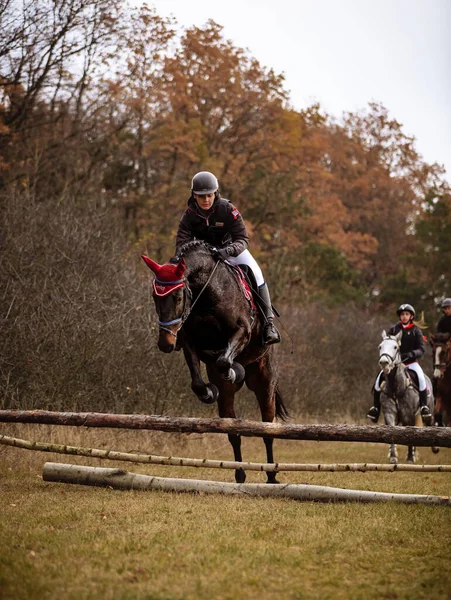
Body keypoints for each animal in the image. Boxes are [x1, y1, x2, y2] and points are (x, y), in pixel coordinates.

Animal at [142, 239, 290, 482]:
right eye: (155, 297)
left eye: (178, 297)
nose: (165, 343)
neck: (207, 292)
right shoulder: (190, 342)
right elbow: (198, 381)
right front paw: (209, 391)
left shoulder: (242, 331)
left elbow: (224, 361)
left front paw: (234, 370)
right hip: (229, 399)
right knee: (233, 432)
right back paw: (240, 475)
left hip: (264, 382)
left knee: (267, 431)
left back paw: (271, 476)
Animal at [378, 328, 438, 464]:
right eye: (380, 346)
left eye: (395, 347)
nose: (384, 363)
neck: (395, 388)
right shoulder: (389, 413)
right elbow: (392, 431)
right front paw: (393, 457)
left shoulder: (409, 414)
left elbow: (411, 434)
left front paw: (410, 457)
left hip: (427, 411)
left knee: (429, 422)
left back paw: (433, 448)